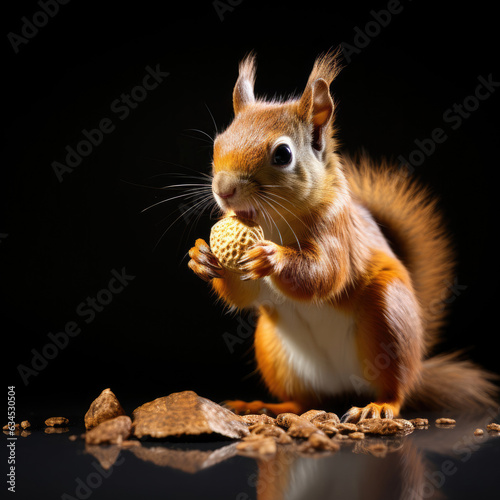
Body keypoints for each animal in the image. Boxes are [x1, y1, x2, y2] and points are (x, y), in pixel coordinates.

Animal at [187, 49, 496, 422]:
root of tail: (344, 386)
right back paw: (264, 405)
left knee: (396, 389)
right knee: (303, 400)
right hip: (273, 349)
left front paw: (272, 258)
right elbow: (243, 294)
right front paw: (201, 257)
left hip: (389, 320)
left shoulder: (338, 233)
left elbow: (326, 274)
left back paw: (378, 407)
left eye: (282, 154)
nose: (224, 190)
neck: (274, 223)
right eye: (218, 143)